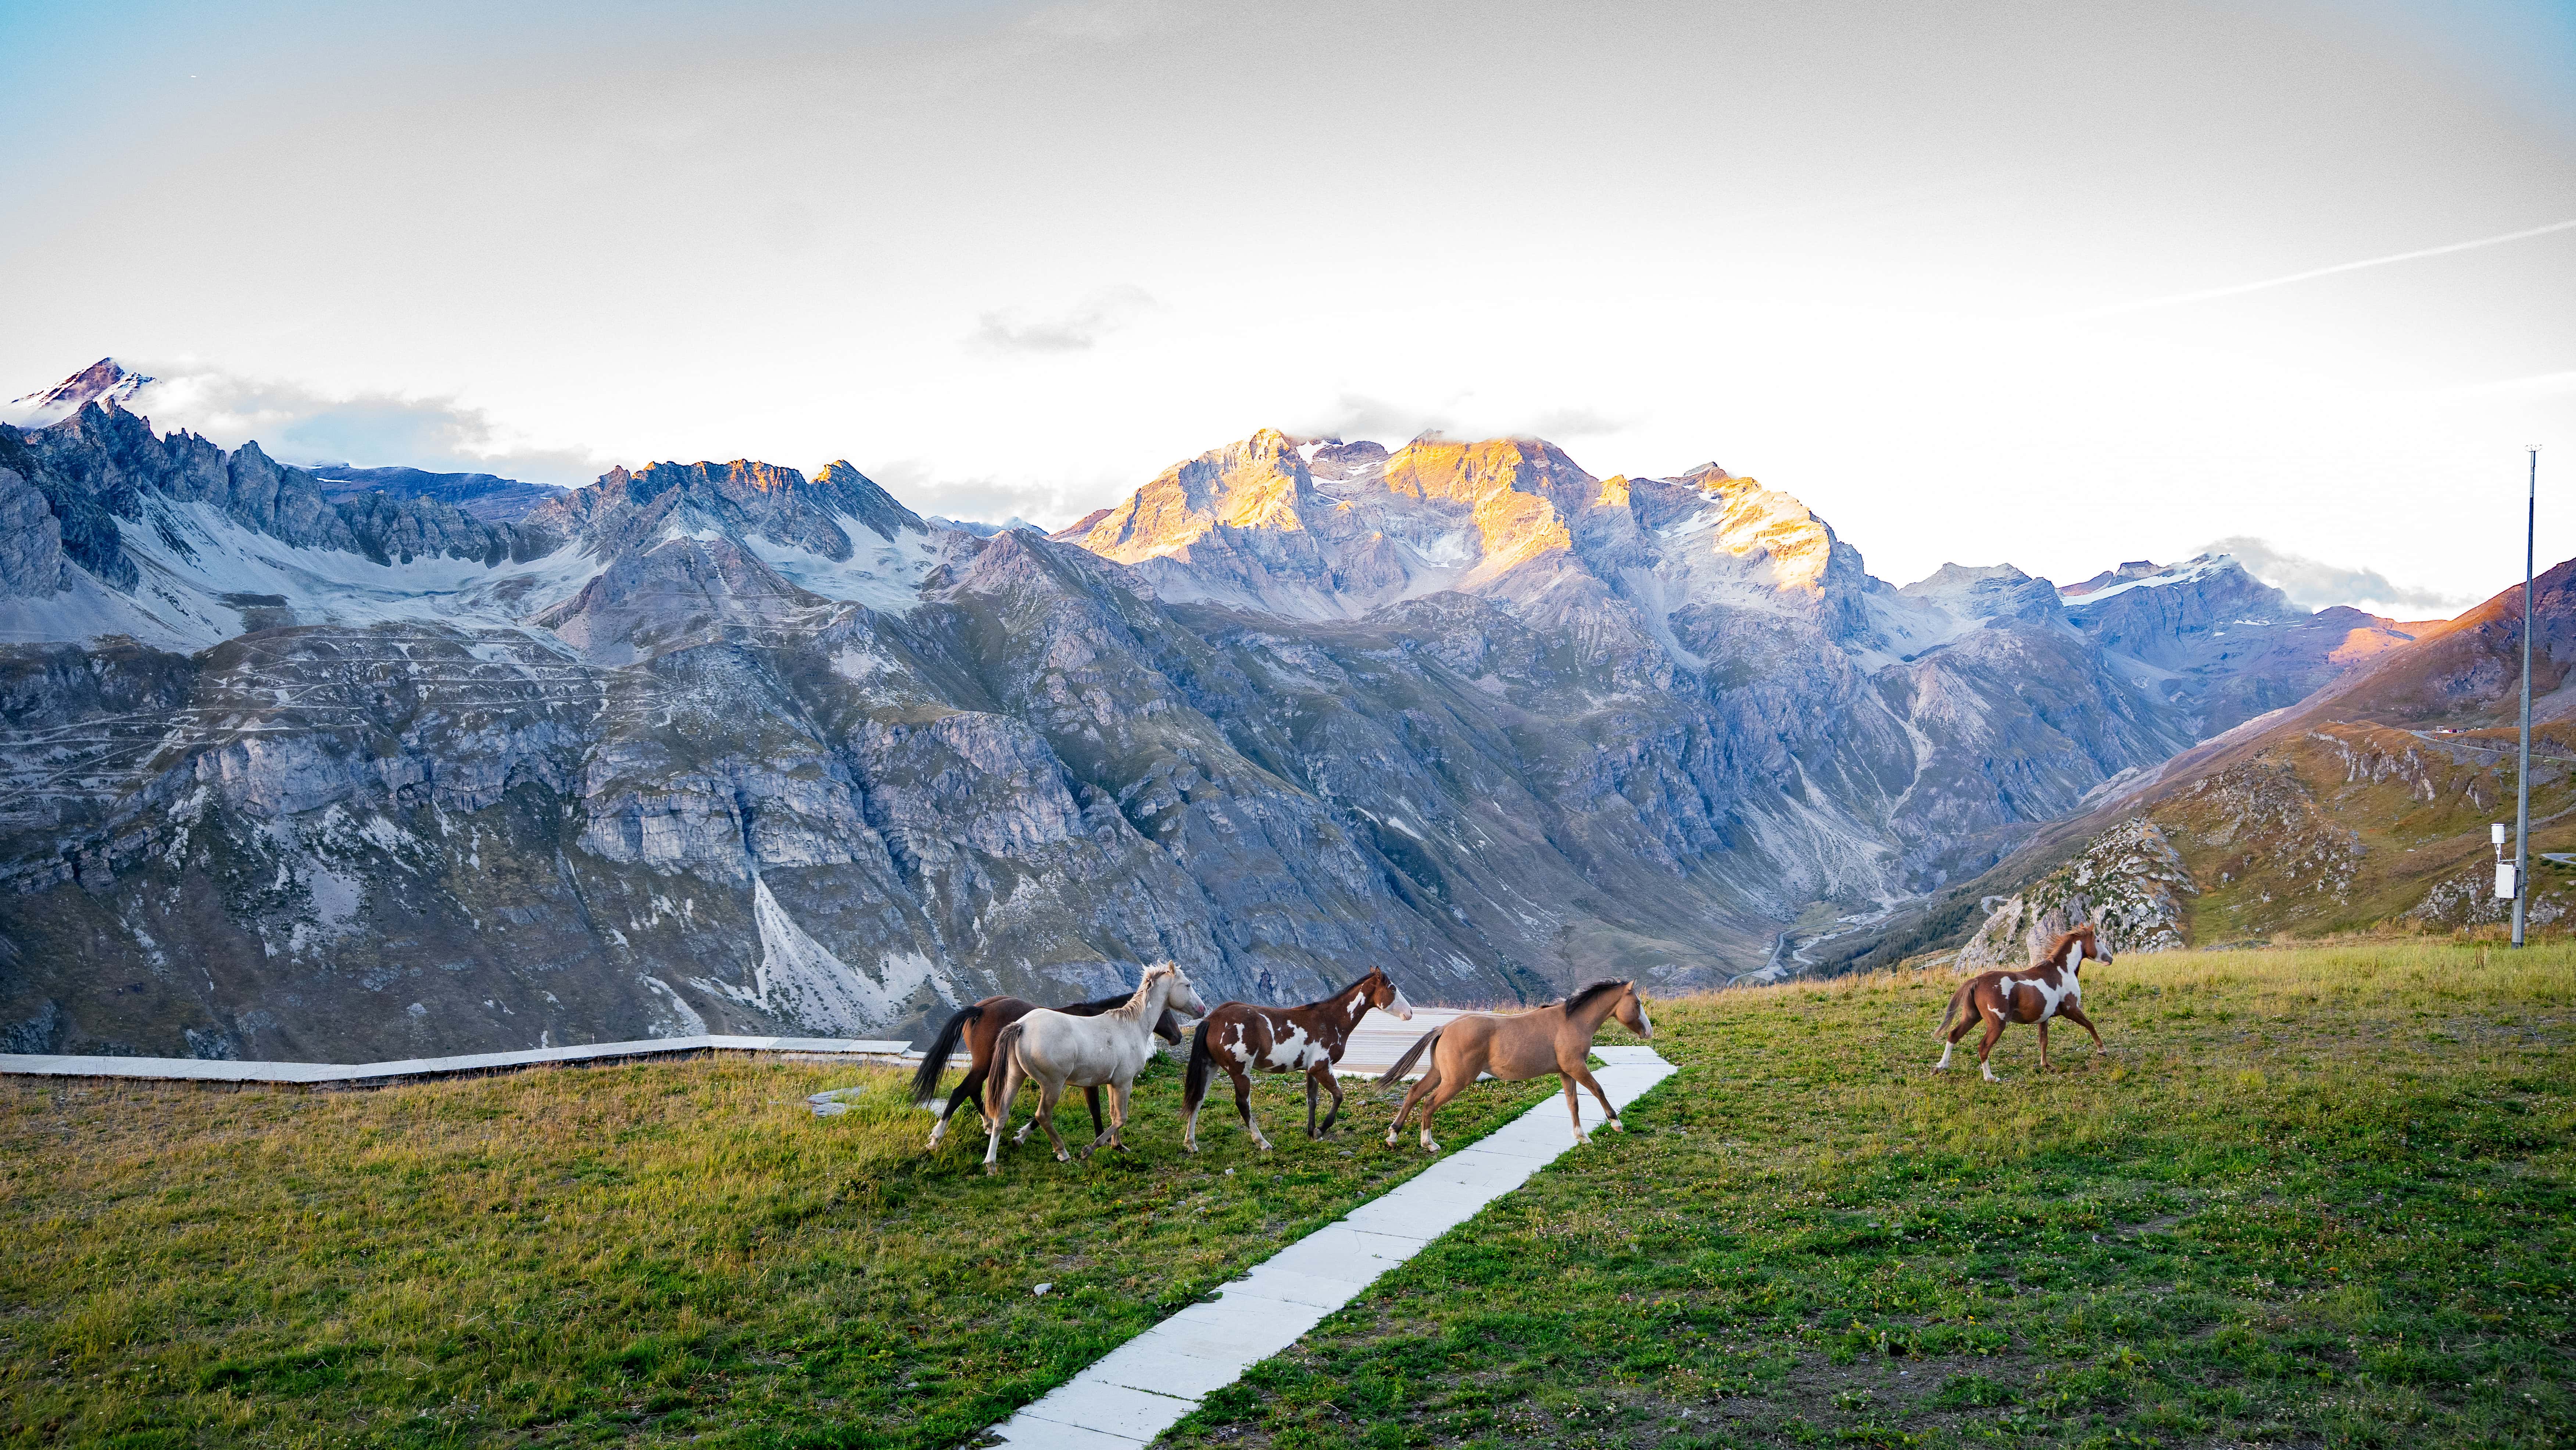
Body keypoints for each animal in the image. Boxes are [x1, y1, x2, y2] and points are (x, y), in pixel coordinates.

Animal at [909, 993, 1188, 1149]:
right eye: (1166, 1012)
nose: (1177, 1037)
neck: (1103, 1025)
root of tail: (980, 1010)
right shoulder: (1087, 1081)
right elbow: (1095, 1110)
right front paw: (1103, 1141)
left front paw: (1022, 1135)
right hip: (985, 1065)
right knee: (961, 1091)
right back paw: (937, 1139)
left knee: (974, 1091)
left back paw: (989, 1124)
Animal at [983, 962, 1211, 1174]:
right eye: (1188, 985)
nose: (1202, 1009)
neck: (1131, 1027)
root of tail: (1021, 1026)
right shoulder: (1124, 1082)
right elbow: (1121, 1117)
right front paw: (1090, 1150)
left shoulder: (1113, 1083)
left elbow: (1113, 1114)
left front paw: (1118, 1146)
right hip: (1052, 1085)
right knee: (1043, 1116)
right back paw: (1062, 1153)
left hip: (1015, 1077)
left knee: (1001, 1115)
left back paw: (991, 1164)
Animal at [1181, 966, 1415, 1152]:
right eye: (1393, 989)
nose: (1411, 1013)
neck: (1330, 1019)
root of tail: (1212, 1019)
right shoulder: (1322, 1068)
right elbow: (1338, 1097)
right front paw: (1320, 1130)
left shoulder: (1311, 1070)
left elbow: (1312, 1101)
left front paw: (1311, 1133)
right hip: (1240, 1071)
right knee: (1242, 1104)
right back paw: (1262, 1142)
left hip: (1211, 1066)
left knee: (1198, 1099)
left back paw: (1191, 1143)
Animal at [1378, 979, 1653, 1152]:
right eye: (1637, 1004)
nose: (1648, 1032)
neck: (1572, 1022)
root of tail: (1444, 1028)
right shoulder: (1576, 1067)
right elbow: (1598, 1090)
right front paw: (1615, 1123)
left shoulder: (1566, 1072)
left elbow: (1572, 1102)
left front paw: (1581, 1137)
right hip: (1456, 1080)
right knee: (1429, 1103)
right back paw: (1429, 1143)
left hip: (1439, 1074)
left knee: (1415, 1093)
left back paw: (1393, 1136)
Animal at [1934, 925, 2110, 1080]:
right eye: (2098, 940)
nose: (2111, 959)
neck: (2063, 971)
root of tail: (1977, 981)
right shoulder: (2071, 1009)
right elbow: (2090, 1025)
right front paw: (2102, 1050)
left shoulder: (2044, 1018)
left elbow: (2043, 1041)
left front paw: (2046, 1065)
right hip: (1997, 1023)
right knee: (1983, 1046)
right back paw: (1990, 1078)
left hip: (1972, 1016)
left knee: (1953, 1035)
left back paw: (1939, 1067)